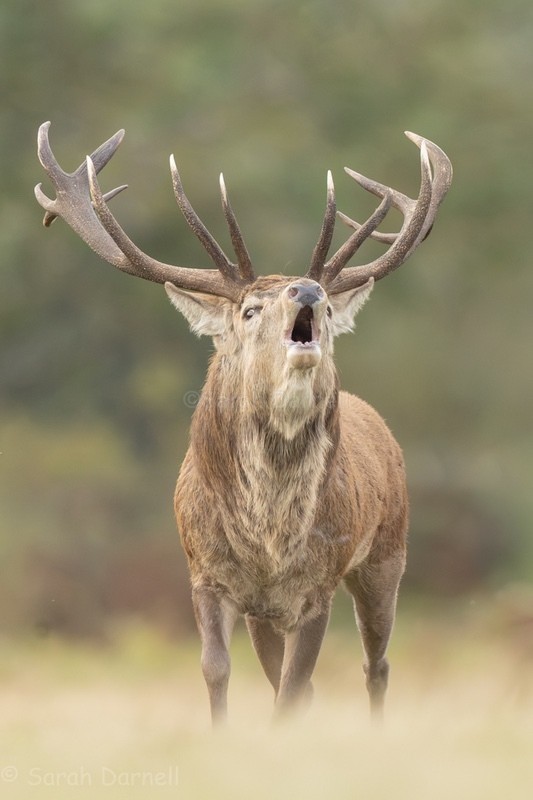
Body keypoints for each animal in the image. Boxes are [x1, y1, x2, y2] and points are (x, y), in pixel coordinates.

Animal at [35, 122, 452, 724]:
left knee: (376, 665)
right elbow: (219, 670)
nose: (309, 290)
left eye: (328, 310)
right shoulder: (207, 574)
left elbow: (294, 689)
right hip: (267, 614)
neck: (268, 542)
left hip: (387, 556)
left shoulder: (317, 588)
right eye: (250, 309)